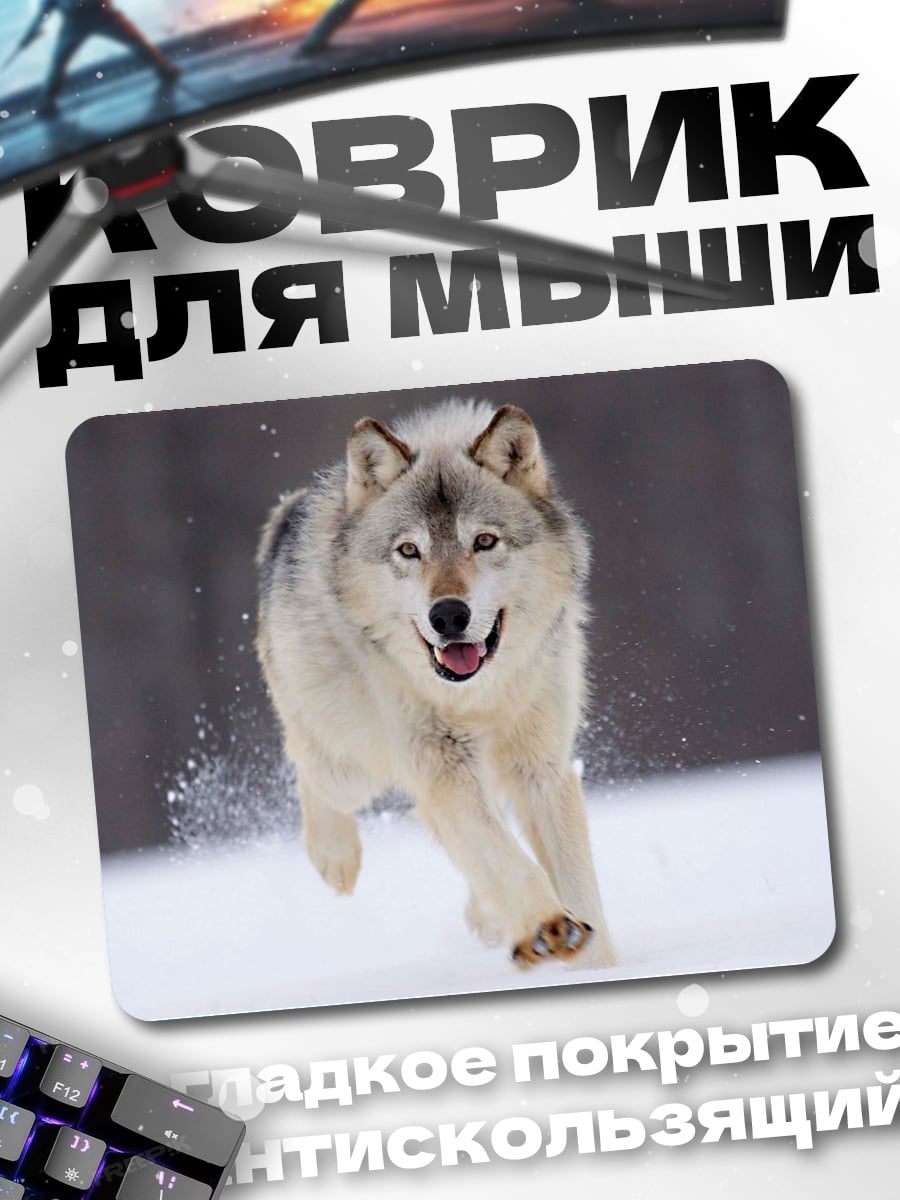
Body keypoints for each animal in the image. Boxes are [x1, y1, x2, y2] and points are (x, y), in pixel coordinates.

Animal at [256, 400, 616, 969]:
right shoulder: (442, 765)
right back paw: (336, 857)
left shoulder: (541, 768)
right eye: (409, 551)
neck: (478, 696)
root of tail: (287, 513)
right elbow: (504, 856)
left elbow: (577, 885)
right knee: (308, 765)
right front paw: (546, 925)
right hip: (352, 762)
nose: (448, 615)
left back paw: (489, 917)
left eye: (484, 541)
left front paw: (593, 960)